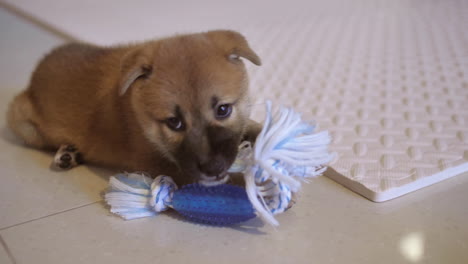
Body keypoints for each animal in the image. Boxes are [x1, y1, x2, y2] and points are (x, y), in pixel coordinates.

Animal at [7, 29, 262, 185]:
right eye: (174, 122)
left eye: (223, 110)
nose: (213, 168)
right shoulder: (156, 163)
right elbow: (232, 182)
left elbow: (252, 125)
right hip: (22, 122)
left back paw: (71, 153)